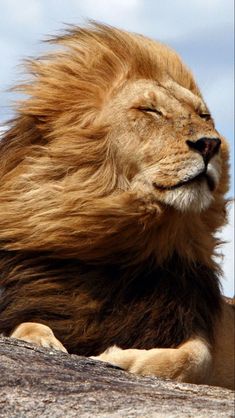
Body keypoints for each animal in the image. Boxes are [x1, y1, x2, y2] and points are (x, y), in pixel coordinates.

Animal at [0, 23, 233, 388]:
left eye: (204, 115)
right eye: (151, 111)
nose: (211, 143)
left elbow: (193, 358)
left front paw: (116, 358)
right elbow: (28, 323)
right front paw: (43, 341)